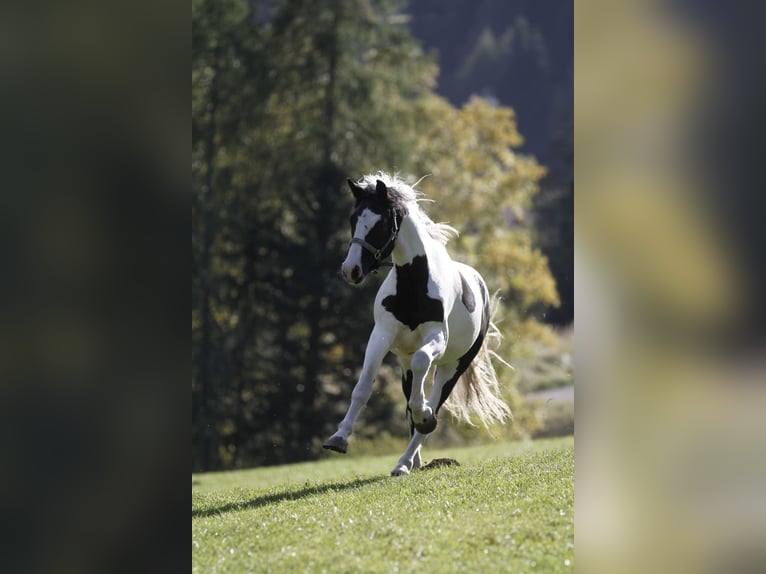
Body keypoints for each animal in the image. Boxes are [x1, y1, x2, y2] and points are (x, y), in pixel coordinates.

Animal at [320, 173, 512, 480]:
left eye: (381, 223)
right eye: (353, 219)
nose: (351, 270)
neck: (413, 283)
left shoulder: (436, 338)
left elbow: (422, 386)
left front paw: (424, 417)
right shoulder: (381, 336)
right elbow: (363, 387)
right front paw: (338, 438)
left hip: (453, 367)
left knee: (433, 405)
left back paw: (405, 459)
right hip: (404, 365)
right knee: (410, 402)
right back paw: (412, 461)